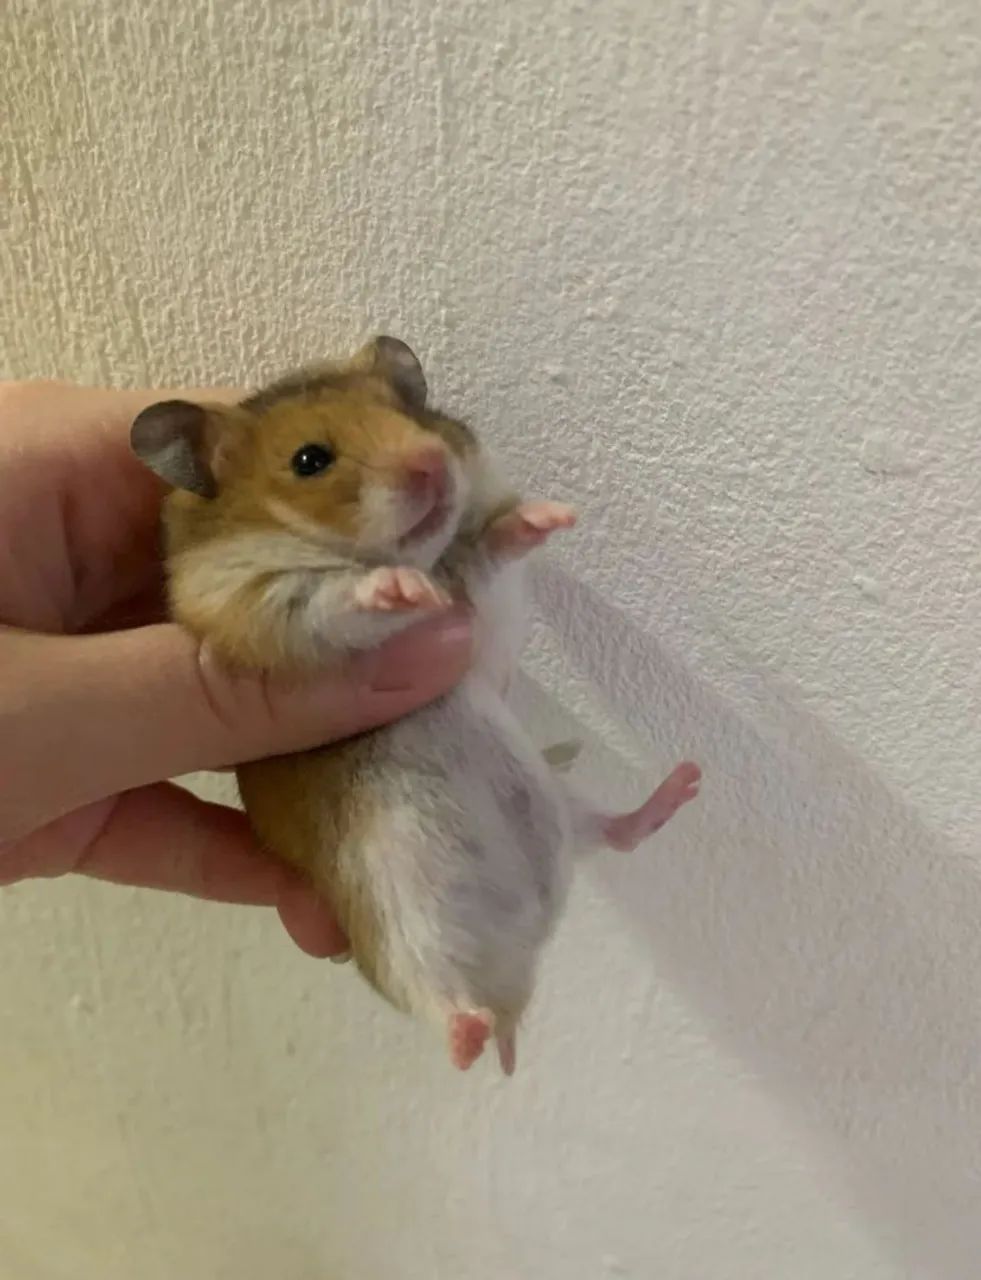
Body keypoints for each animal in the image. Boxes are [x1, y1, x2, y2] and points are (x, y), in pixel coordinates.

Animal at [131, 336, 701, 1075]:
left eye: (413, 410)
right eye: (309, 460)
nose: (432, 460)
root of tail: (517, 976)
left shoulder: (482, 606)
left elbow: (487, 550)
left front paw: (547, 516)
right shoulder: (257, 606)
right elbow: (337, 597)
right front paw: (400, 587)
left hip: (560, 808)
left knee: (615, 833)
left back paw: (685, 783)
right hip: (401, 929)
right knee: (446, 1009)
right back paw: (470, 1039)